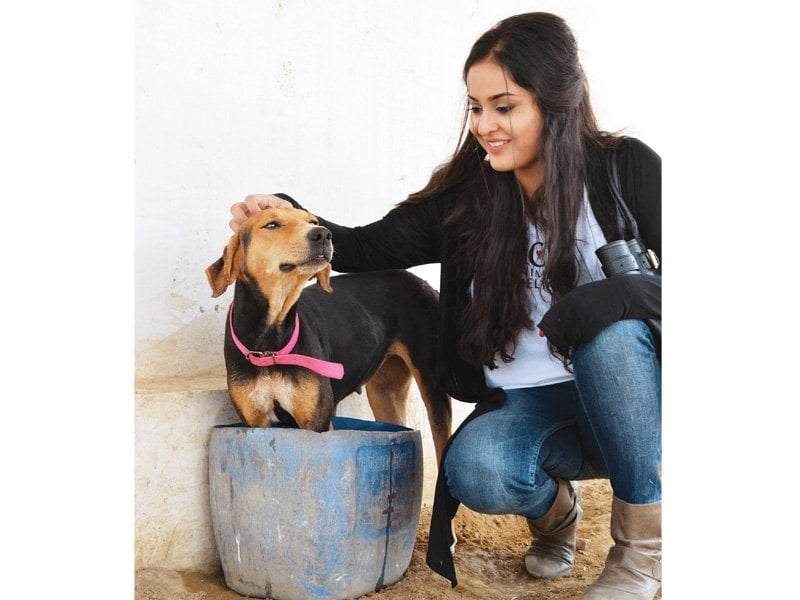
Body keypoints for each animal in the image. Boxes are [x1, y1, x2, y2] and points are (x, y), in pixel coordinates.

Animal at [206, 209, 454, 462]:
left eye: (312, 221)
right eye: (272, 224)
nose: (323, 234)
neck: (270, 343)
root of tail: (418, 280)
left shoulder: (317, 422)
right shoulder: (256, 422)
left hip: (432, 381)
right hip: (385, 391)